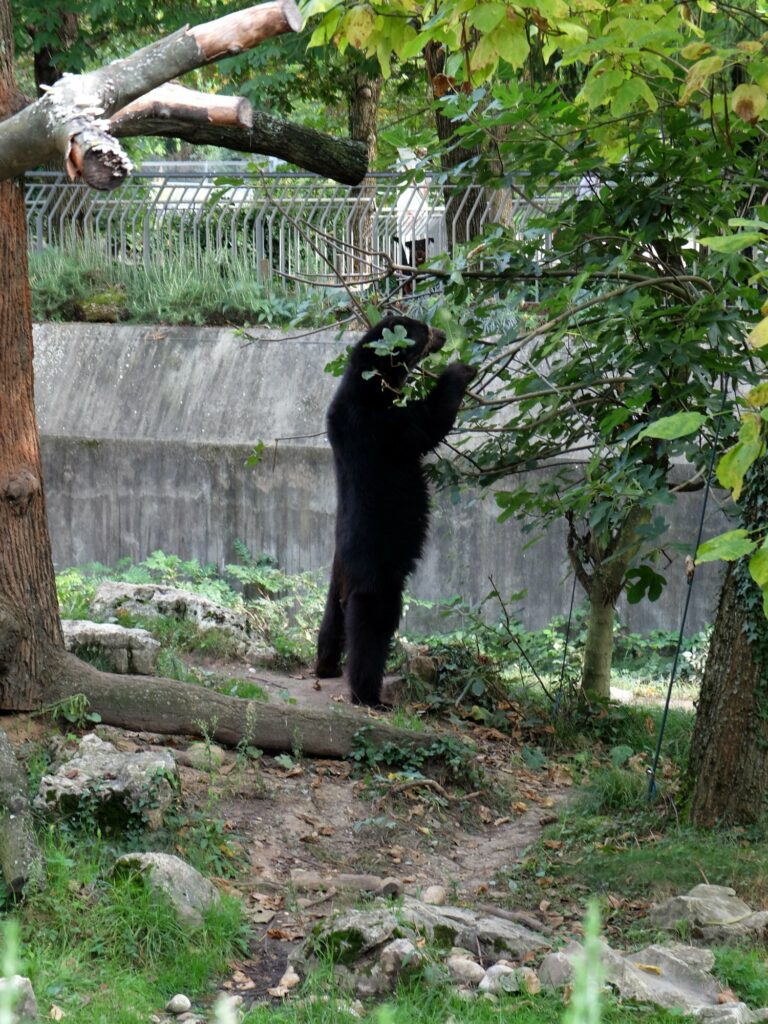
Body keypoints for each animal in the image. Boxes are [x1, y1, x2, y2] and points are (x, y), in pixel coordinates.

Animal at [317, 315, 475, 708]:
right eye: (424, 331)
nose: (443, 334)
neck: (369, 385)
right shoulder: (380, 426)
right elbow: (426, 423)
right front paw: (460, 370)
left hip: (337, 575)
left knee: (333, 617)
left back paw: (325, 665)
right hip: (378, 570)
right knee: (372, 626)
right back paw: (369, 694)